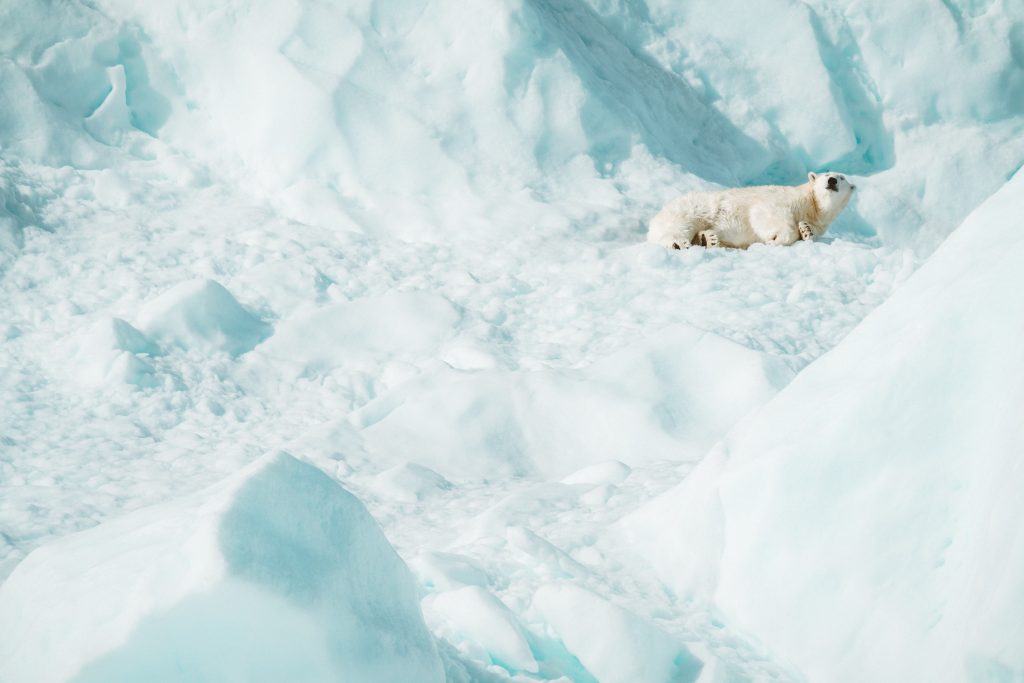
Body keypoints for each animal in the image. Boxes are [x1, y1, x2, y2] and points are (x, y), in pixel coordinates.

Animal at [647, 172, 856, 250]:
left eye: (842, 177)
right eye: (827, 174)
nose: (832, 181)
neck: (811, 205)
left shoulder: (818, 222)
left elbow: (809, 231)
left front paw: (806, 230)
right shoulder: (783, 200)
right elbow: (764, 212)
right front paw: (775, 239)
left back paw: (708, 239)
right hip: (692, 209)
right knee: (678, 226)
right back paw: (679, 243)